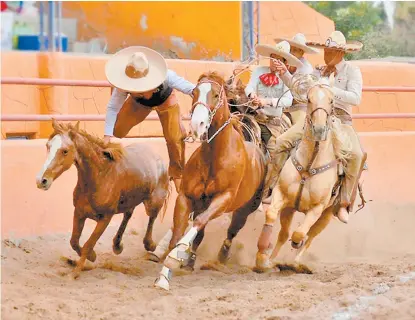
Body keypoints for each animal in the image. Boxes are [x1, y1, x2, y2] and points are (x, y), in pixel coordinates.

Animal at [35, 119, 171, 278]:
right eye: (48, 146)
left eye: (65, 151)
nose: (41, 180)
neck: (100, 176)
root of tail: (159, 158)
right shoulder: (79, 212)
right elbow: (74, 241)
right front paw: (90, 257)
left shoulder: (105, 218)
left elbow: (88, 244)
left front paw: (75, 272)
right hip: (129, 200)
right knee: (128, 214)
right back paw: (117, 245)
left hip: (154, 201)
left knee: (152, 217)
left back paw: (150, 244)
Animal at [154, 72, 268, 290]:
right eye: (194, 92)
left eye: (216, 94)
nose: (197, 124)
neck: (215, 157)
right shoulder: (186, 198)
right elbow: (179, 232)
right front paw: (164, 274)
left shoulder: (223, 199)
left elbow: (197, 224)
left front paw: (176, 256)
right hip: (203, 204)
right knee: (201, 234)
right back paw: (190, 262)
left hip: (245, 209)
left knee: (231, 232)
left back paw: (221, 257)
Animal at [255, 75, 356, 272]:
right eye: (309, 99)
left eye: (331, 100)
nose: (319, 129)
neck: (310, 164)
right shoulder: (282, 196)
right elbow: (272, 216)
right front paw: (263, 258)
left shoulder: (317, 209)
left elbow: (300, 233)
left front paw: (295, 246)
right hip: (290, 209)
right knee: (284, 233)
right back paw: (274, 259)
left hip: (327, 214)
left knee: (310, 237)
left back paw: (295, 262)